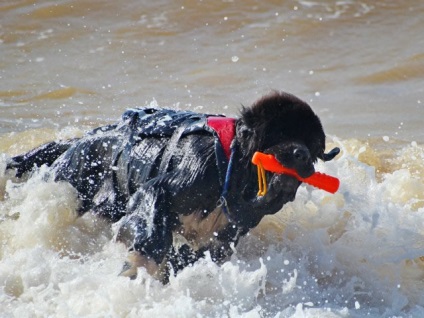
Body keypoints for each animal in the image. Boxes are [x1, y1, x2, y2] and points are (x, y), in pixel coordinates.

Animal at [6, 90, 338, 282]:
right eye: (280, 134)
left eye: (311, 144)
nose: (301, 154)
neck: (234, 173)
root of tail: (86, 137)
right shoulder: (180, 180)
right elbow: (154, 224)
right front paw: (141, 264)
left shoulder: (227, 235)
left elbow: (199, 254)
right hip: (69, 180)